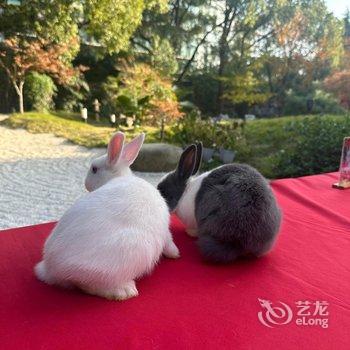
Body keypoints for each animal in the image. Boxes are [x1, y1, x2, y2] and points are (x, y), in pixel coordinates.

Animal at [34, 132, 180, 300]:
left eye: (94, 169)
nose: (86, 184)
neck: (117, 177)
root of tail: (50, 268)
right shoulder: (164, 231)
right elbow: (169, 240)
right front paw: (175, 253)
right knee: (87, 285)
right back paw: (124, 291)